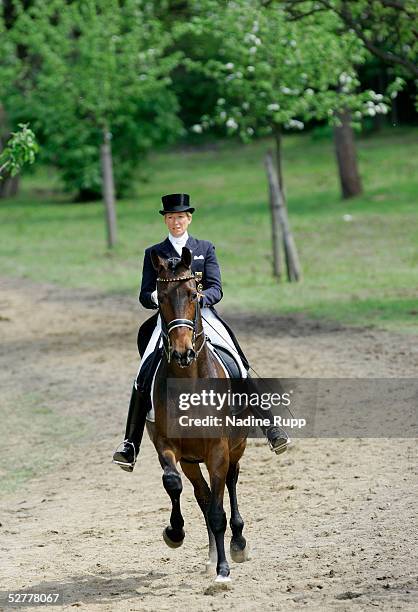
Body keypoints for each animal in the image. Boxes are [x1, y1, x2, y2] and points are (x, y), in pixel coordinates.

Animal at [145, 245, 248, 584]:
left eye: (193, 294)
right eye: (161, 297)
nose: (182, 352)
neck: (188, 379)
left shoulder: (218, 449)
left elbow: (218, 510)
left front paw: (223, 571)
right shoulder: (166, 445)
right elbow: (173, 484)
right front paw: (174, 532)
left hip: (235, 448)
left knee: (229, 483)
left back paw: (237, 544)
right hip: (192, 461)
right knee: (202, 495)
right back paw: (212, 555)